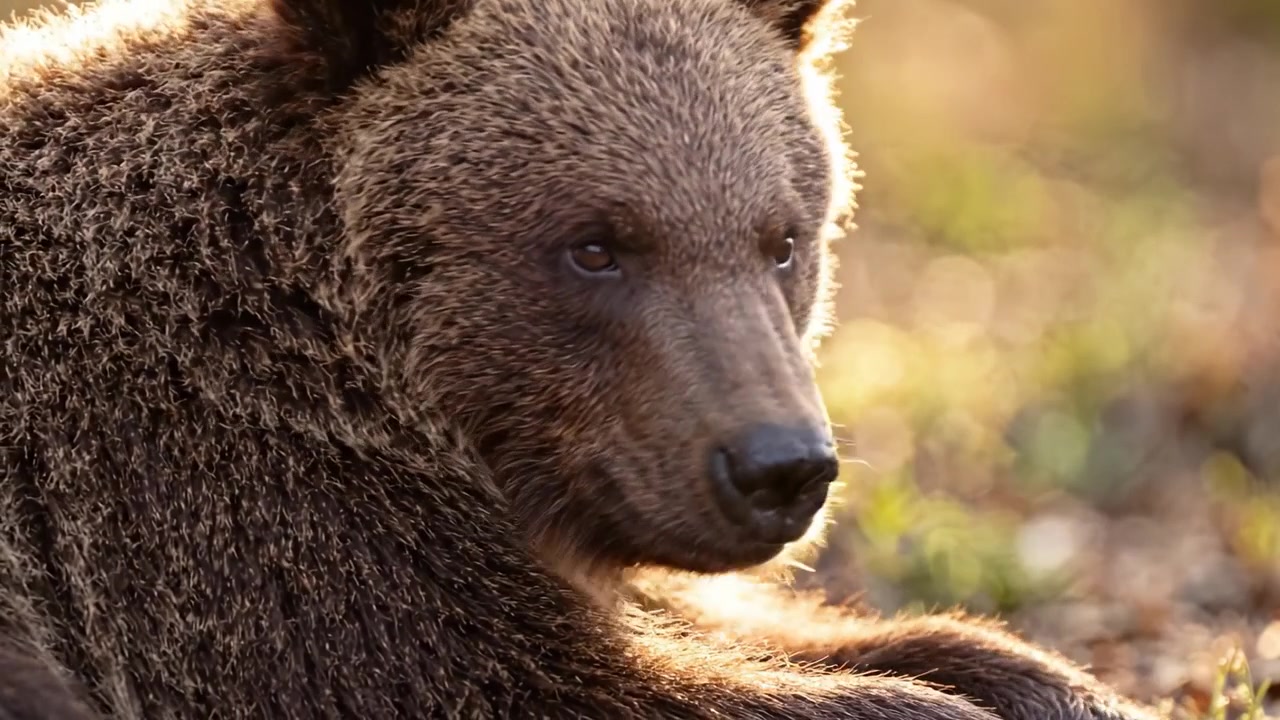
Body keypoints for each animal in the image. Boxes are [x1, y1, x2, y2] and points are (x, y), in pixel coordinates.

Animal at [0, 0, 1159, 718]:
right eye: (595, 245)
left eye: (783, 238)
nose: (780, 466)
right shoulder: (220, 516)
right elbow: (525, 676)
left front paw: (1053, 681)